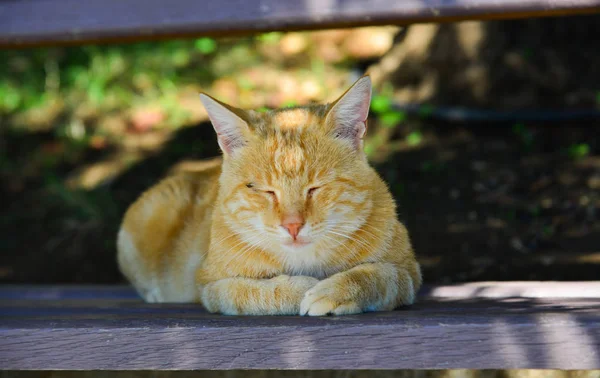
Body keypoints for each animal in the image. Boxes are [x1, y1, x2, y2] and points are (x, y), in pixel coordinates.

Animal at [117, 75, 422, 314]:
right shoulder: (212, 287)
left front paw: (333, 290)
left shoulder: (408, 273)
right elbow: (258, 292)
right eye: (263, 190)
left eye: (315, 187)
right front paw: (303, 288)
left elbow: (377, 275)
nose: (293, 226)